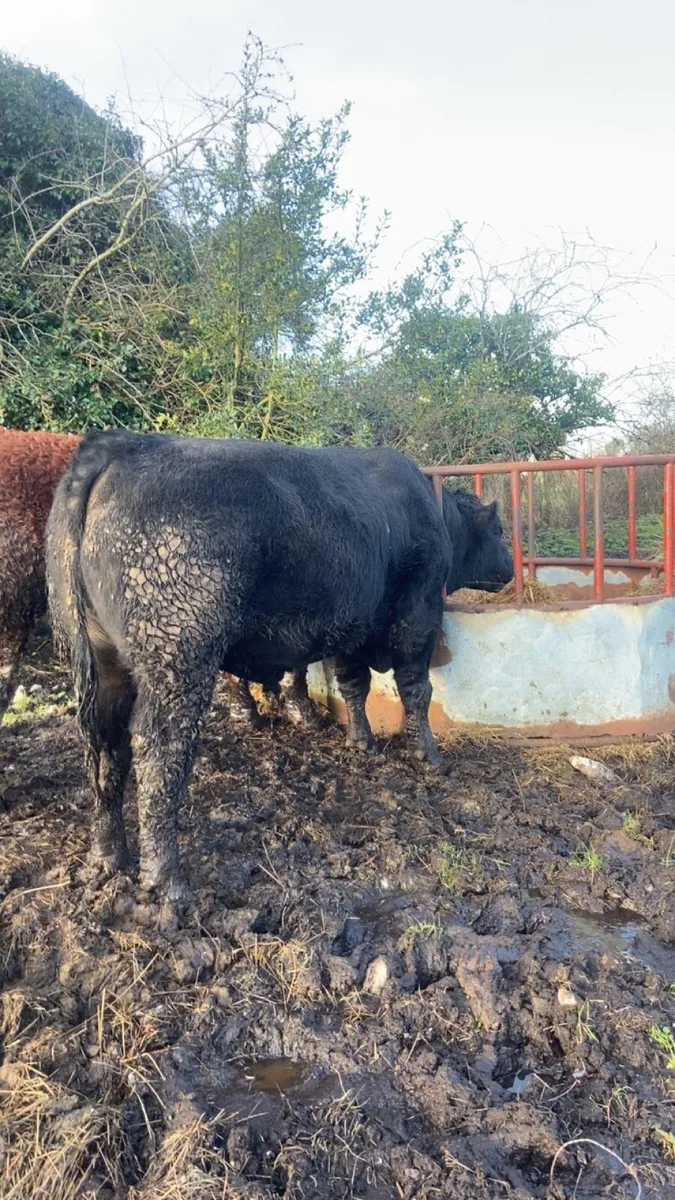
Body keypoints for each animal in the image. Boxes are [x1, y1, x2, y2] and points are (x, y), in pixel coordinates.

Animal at [46, 431, 512, 903]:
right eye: (499, 531)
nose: (510, 569)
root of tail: (118, 445)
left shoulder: (351, 627)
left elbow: (354, 685)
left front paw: (360, 740)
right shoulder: (418, 616)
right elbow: (416, 689)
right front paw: (431, 756)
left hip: (102, 664)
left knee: (105, 747)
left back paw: (108, 855)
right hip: (178, 659)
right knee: (159, 751)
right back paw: (166, 880)